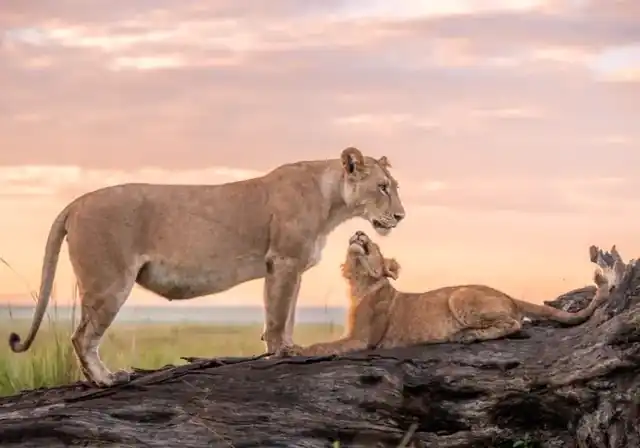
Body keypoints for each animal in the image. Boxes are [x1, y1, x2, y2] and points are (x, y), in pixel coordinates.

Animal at [7, 147, 406, 387]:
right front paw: (281, 354)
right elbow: (278, 318)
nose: (401, 217)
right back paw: (106, 379)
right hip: (109, 282)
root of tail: (76, 202)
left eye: (394, 186)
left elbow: (287, 315)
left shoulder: (288, 268)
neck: (332, 202)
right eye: (383, 187)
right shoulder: (283, 261)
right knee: (82, 337)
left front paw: (288, 349)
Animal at [292, 230, 620, 357]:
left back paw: (466, 336)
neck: (358, 285)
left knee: (514, 324)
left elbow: (322, 346)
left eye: (372, 245)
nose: (360, 233)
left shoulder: (362, 340)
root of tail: (507, 293)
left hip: (459, 295)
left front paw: (292, 350)